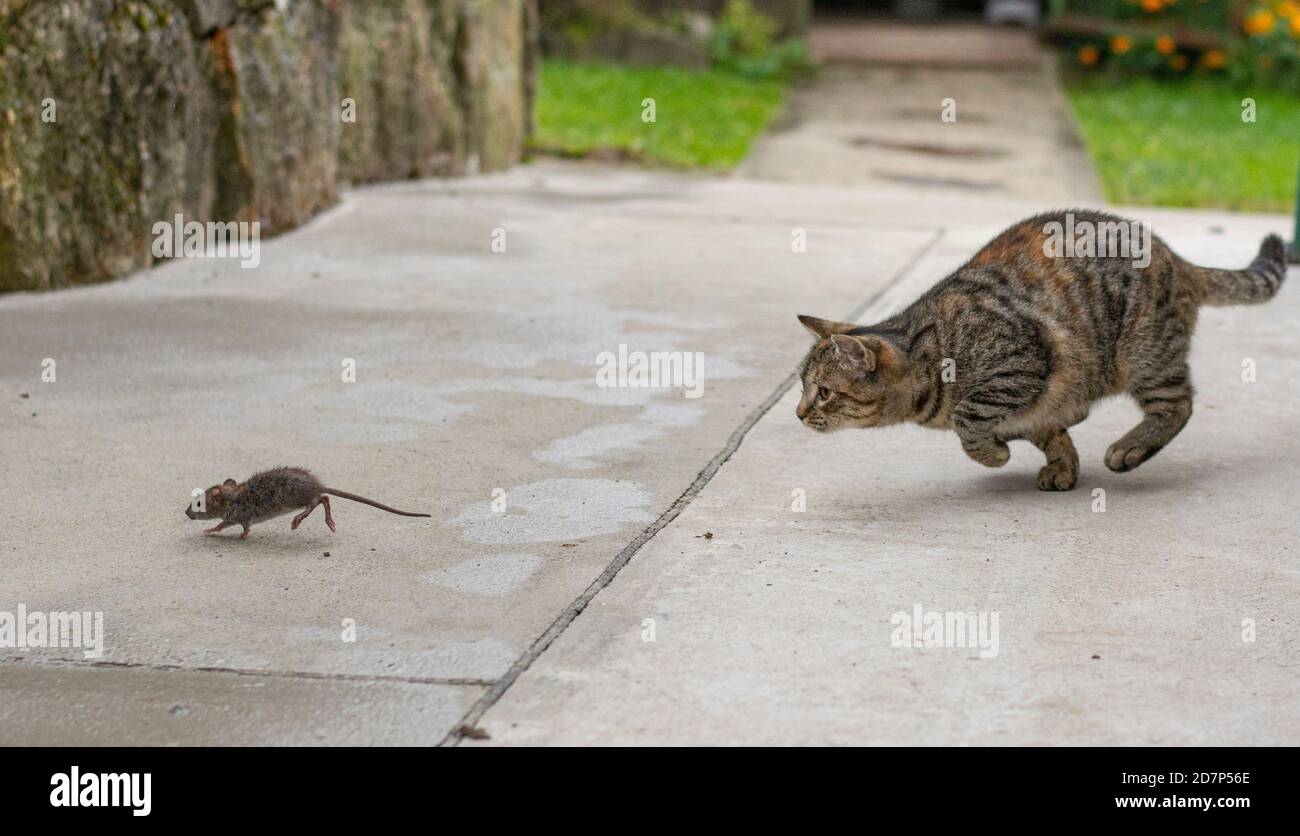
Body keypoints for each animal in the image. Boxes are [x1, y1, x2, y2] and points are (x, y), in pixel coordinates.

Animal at [795, 210, 1284, 491]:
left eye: (823, 392)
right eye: (801, 388)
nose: (798, 414)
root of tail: (1175, 257)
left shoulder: (1020, 366)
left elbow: (968, 419)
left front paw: (994, 454)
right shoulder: (1036, 405)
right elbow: (1049, 432)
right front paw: (1062, 465)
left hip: (1144, 354)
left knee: (1178, 404)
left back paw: (1130, 448)